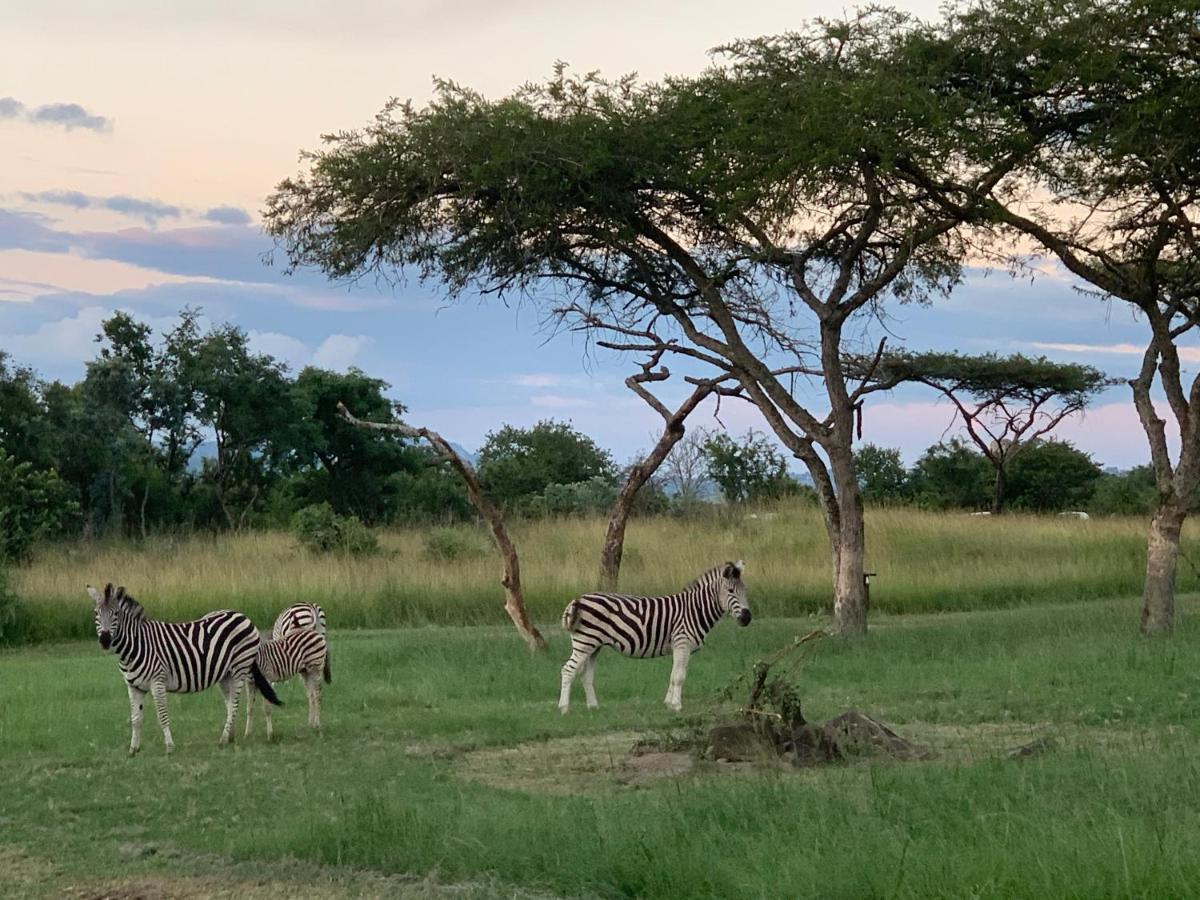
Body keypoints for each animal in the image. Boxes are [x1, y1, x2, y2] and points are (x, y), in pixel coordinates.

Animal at [87, 580, 279, 758]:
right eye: (96, 613)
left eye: (116, 614)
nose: (104, 640)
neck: (135, 646)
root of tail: (242, 615)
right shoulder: (134, 686)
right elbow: (135, 719)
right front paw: (133, 749)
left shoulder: (157, 681)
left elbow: (162, 716)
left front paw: (170, 747)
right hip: (226, 674)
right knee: (231, 705)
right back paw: (229, 737)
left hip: (240, 668)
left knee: (235, 703)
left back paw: (223, 739)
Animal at [554, 561, 748, 715]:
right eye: (731, 591)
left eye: (745, 591)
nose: (747, 618)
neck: (696, 609)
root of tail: (578, 600)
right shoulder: (682, 643)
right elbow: (679, 676)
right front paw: (677, 706)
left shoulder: (681, 647)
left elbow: (674, 674)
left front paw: (668, 704)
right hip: (585, 642)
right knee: (568, 670)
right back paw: (564, 709)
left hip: (594, 645)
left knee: (586, 674)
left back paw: (593, 707)